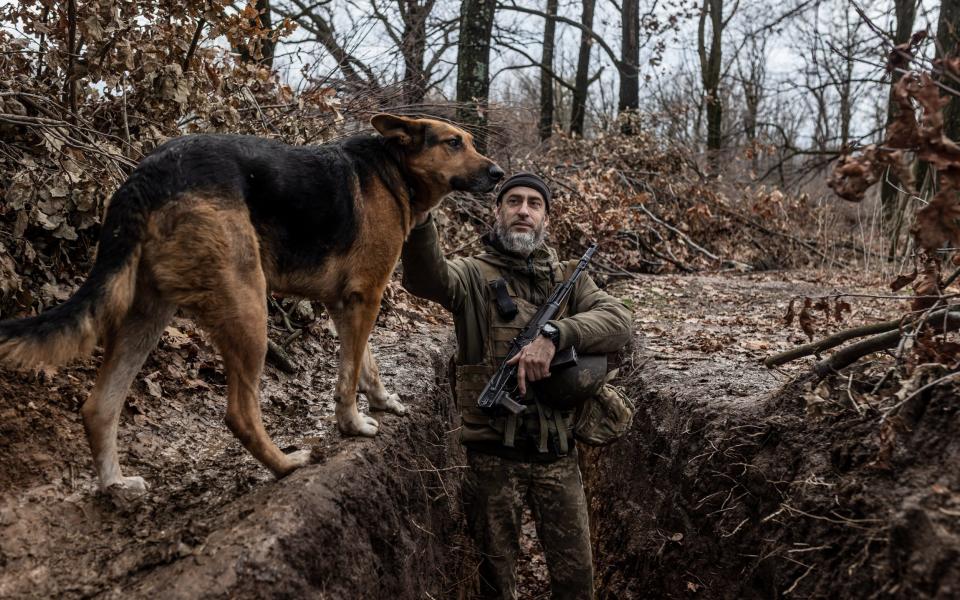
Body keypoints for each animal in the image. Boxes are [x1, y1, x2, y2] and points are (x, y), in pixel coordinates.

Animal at [0, 115, 506, 494]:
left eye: (470, 142)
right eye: (453, 143)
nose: (499, 174)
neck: (393, 168)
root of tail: (148, 174)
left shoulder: (345, 302)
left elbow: (367, 363)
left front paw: (381, 402)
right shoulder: (366, 295)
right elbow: (348, 376)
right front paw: (353, 424)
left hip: (147, 315)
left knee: (99, 407)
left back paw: (115, 485)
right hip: (248, 309)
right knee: (240, 413)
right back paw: (286, 464)